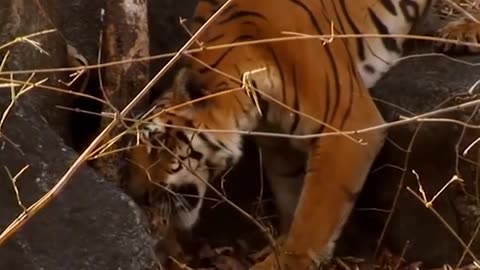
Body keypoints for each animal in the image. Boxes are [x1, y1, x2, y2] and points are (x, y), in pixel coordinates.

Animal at [127, 0, 480, 268]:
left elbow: (313, 217)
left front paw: (284, 261)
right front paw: (277, 246)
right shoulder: (280, 147)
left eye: (157, 144)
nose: (138, 195)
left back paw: (462, 31)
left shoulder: (347, 127)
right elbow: (291, 201)